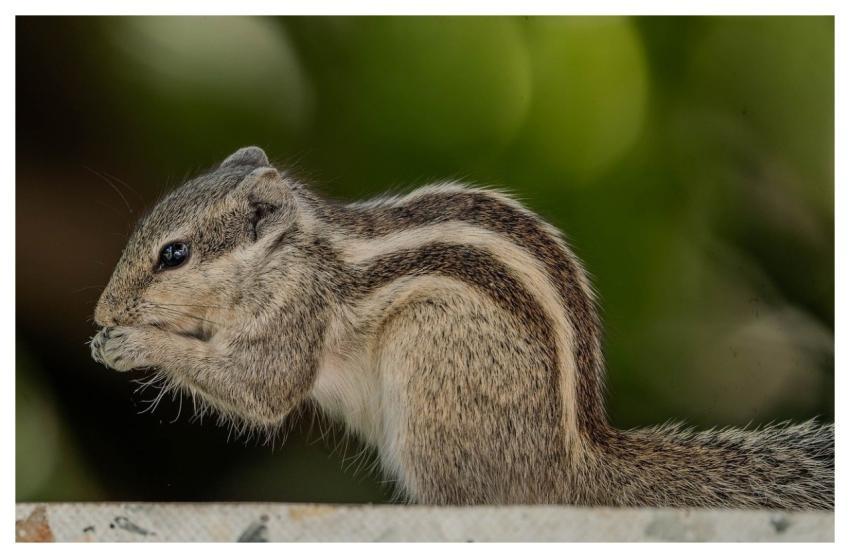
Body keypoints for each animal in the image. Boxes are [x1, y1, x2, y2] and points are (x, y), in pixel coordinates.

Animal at [90, 146, 834, 509]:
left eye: (174, 254)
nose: (101, 312)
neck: (291, 253)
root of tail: (570, 462)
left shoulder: (296, 314)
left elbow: (261, 389)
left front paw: (132, 344)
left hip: (430, 369)